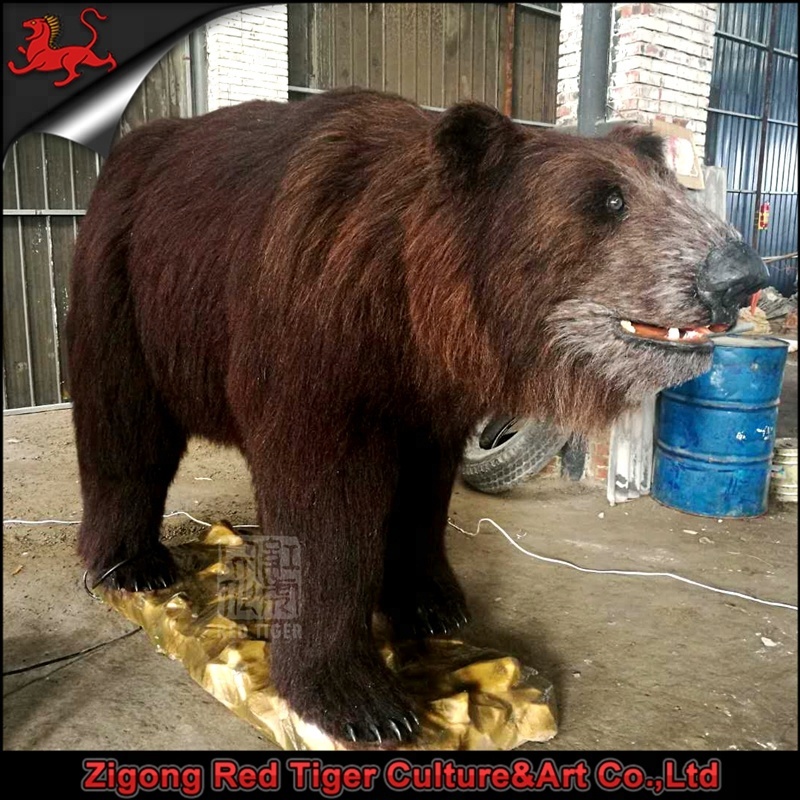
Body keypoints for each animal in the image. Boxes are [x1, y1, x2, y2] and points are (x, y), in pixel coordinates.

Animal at [66, 87, 768, 745]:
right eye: (609, 201)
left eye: (666, 189)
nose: (741, 275)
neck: (402, 297)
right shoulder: (312, 341)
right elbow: (324, 508)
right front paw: (363, 703)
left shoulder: (427, 395)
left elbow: (422, 490)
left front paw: (434, 605)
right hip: (127, 288)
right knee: (125, 429)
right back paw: (133, 564)